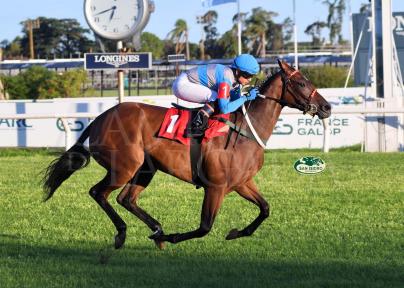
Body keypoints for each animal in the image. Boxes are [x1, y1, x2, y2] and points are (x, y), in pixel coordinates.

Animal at [41, 60, 332, 250]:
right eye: (302, 82)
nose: (327, 107)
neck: (246, 129)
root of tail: (100, 117)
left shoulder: (242, 183)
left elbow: (265, 208)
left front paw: (236, 232)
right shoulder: (215, 187)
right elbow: (205, 227)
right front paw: (172, 237)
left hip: (145, 168)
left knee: (126, 199)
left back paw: (157, 230)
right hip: (124, 166)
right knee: (98, 193)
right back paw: (125, 234)